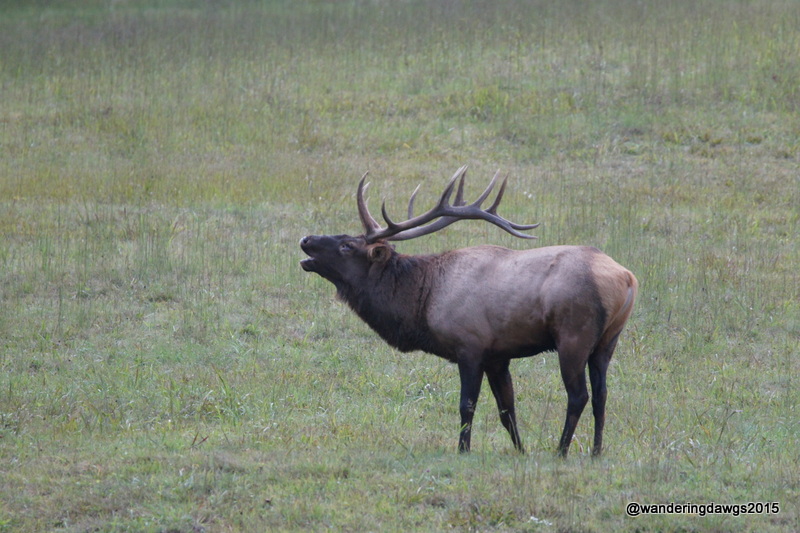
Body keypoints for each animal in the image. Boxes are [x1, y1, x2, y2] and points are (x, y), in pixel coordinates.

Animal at [299, 165, 638, 456]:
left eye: (347, 246)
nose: (305, 239)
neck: (424, 299)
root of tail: (627, 278)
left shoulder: (470, 346)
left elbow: (467, 405)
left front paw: (463, 449)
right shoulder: (498, 356)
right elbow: (507, 408)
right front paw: (521, 450)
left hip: (574, 335)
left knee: (579, 395)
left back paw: (561, 451)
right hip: (608, 340)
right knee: (602, 394)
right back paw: (596, 451)